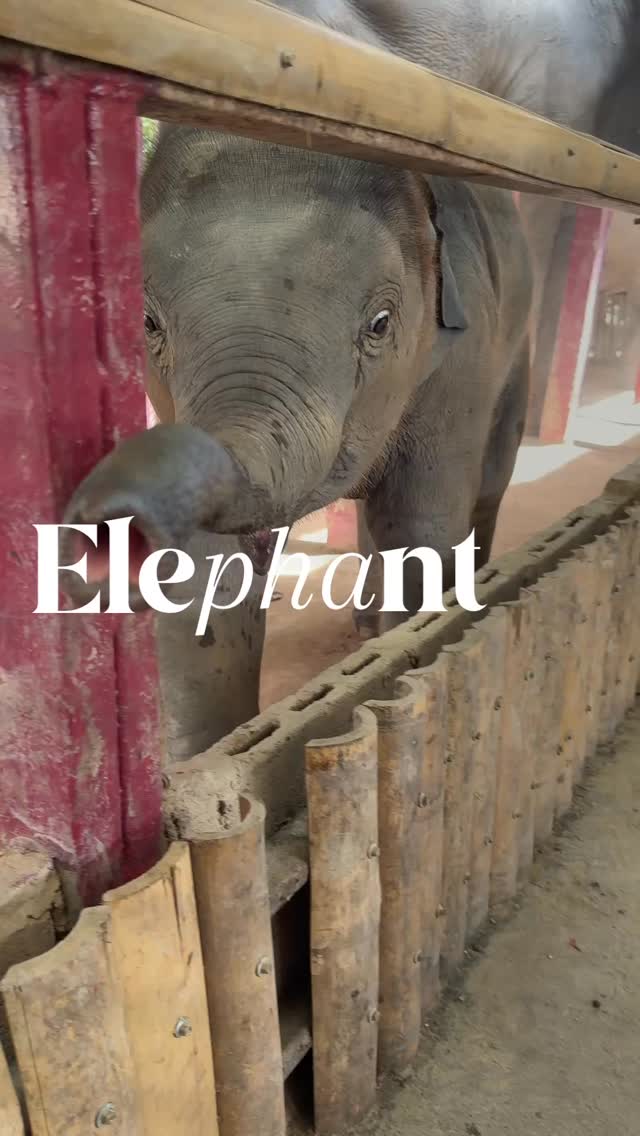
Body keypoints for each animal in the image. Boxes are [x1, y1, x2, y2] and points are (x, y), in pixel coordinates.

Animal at [61, 0, 639, 757]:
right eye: (149, 323)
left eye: (381, 323)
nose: (102, 519)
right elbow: (210, 576)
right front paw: (202, 761)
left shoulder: (462, 358)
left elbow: (420, 528)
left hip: (515, 346)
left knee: (487, 480)